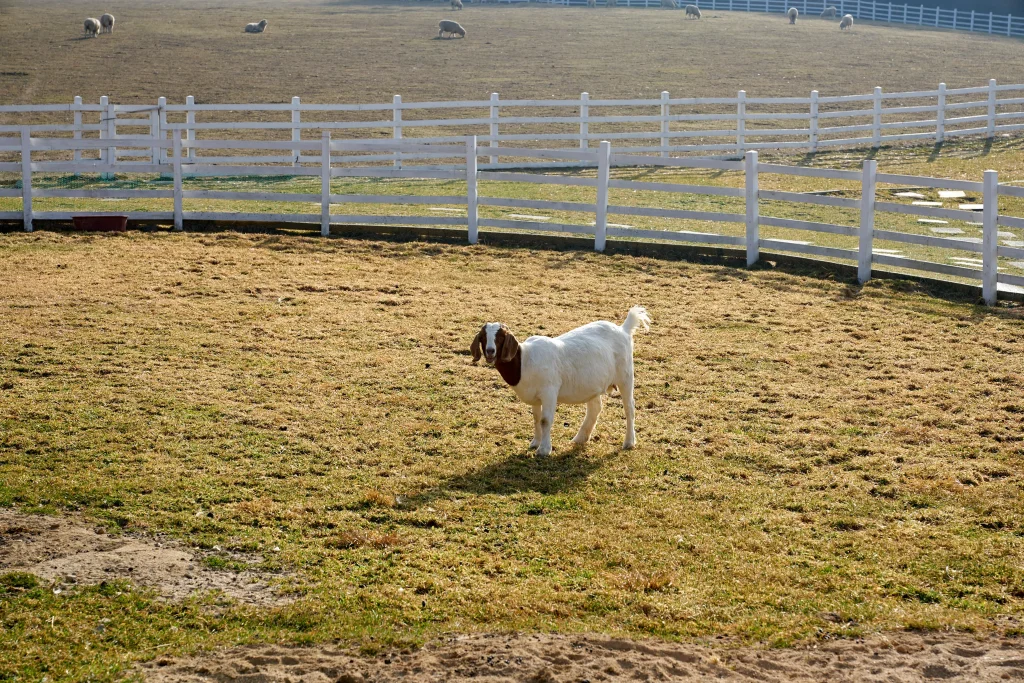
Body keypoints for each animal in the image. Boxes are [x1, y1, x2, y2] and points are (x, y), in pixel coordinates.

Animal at [468, 307, 651, 456]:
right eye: (483, 337)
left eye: (500, 337)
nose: (490, 351)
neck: (524, 360)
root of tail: (623, 329)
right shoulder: (536, 397)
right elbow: (536, 418)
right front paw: (535, 443)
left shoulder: (549, 391)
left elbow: (545, 420)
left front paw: (544, 450)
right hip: (593, 383)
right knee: (595, 408)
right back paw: (580, 438)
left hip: (625, 375)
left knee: (629, 408)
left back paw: (628, 442)